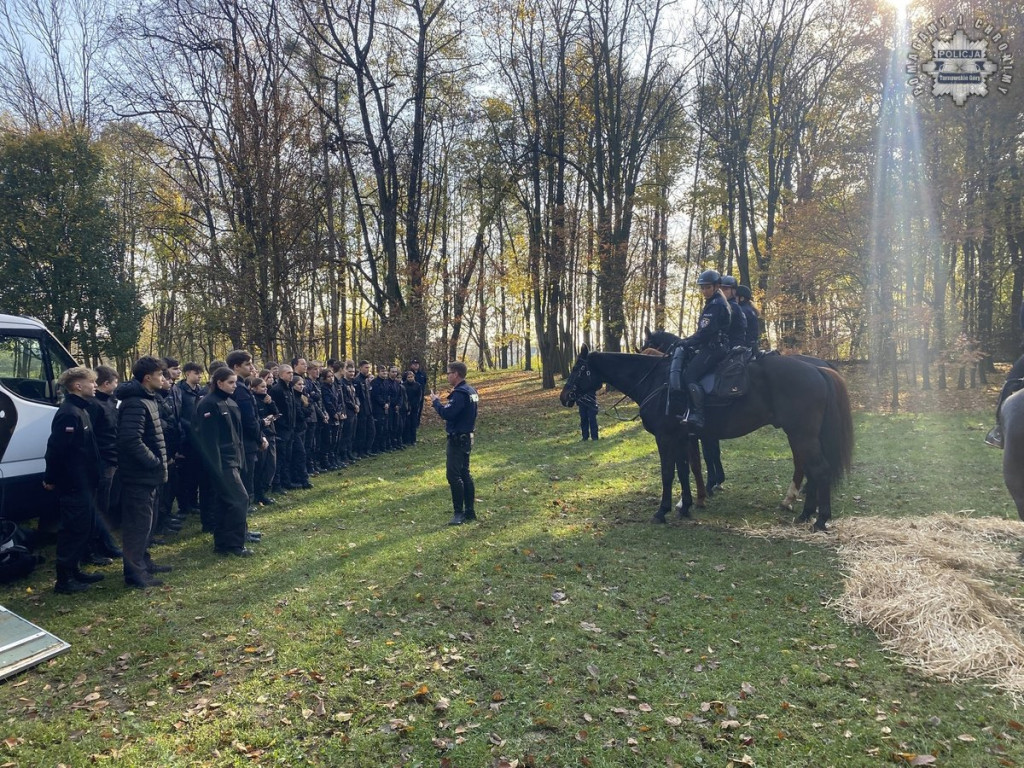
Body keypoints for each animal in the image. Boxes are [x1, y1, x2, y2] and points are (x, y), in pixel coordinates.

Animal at [565, 346, 851, 532]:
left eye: (578, 369)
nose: (565, 396)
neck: (658, 381)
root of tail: (818, 369)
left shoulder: (666, 438)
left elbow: (668, 473)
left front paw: (662, 510)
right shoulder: (681, 437)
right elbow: (684, 470)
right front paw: (686, 505)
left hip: (802, 435)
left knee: (818, 470)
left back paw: (819, 519)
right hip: (803, 436)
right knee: (812, 470)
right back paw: (805, 513)